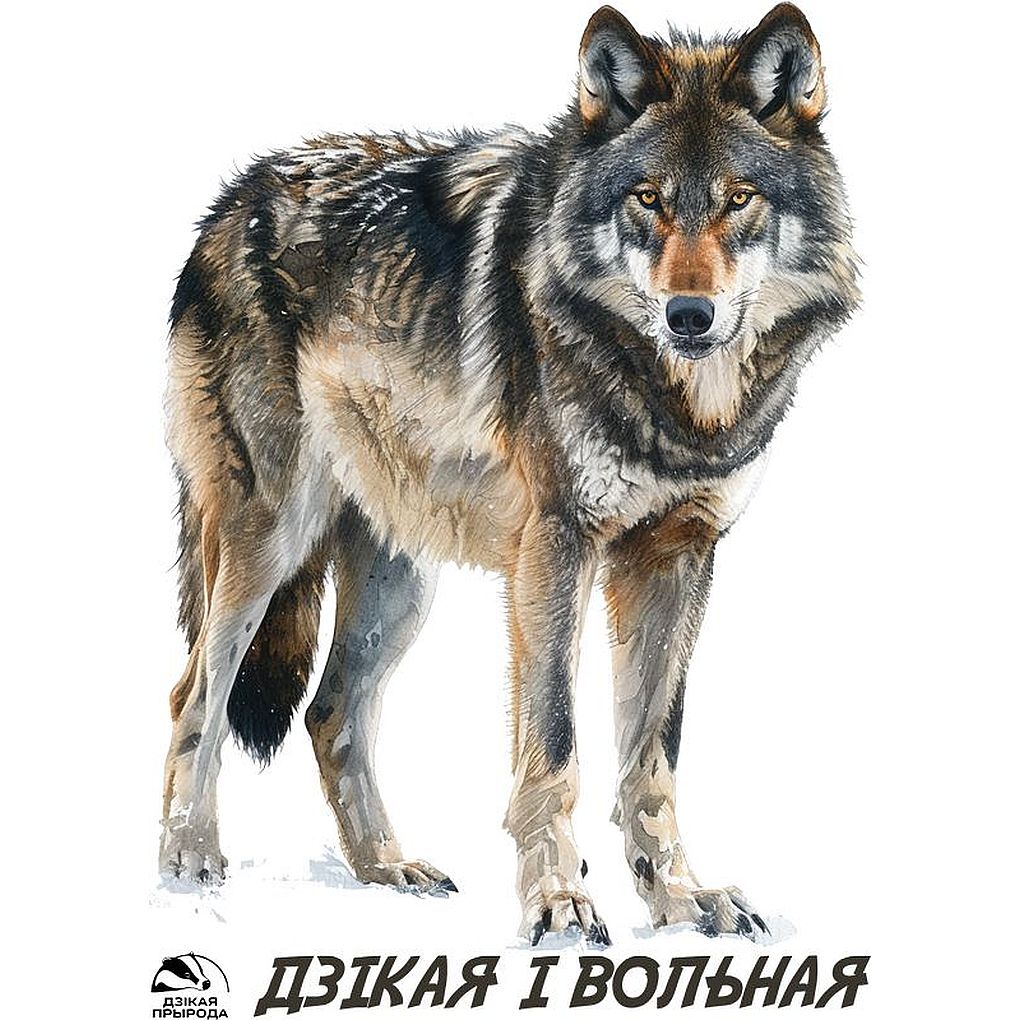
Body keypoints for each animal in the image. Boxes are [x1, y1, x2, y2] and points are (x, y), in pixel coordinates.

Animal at [160, 3, 859, 945]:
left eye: (738, 200)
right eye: (648, 199)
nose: (690, 315)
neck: (679, 408)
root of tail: (228, 202)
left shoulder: (678, 556)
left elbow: (653, 757)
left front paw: (680, 899)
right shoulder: (556, 553)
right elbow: (555, 749)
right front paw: (559, 903)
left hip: (399, 584)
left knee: (331, 711)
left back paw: (387, 868)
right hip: (267, 543)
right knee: (197, 693)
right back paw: (189, 861)